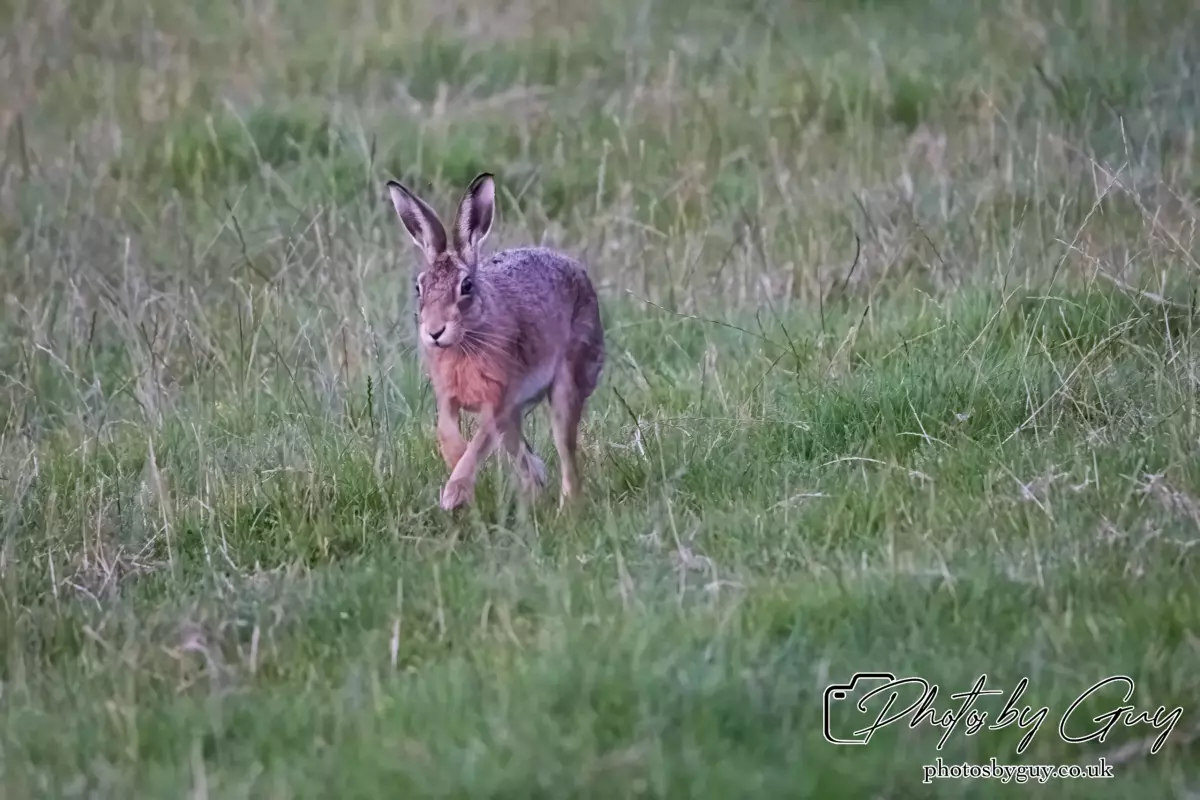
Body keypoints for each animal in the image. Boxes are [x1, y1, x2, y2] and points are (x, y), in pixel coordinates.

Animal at [385, 172, 605, 511]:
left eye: (466, 286)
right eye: (419, 287)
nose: (434, 332)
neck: (468, 334)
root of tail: (580, 273)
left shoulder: (498, 400)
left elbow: (478, 442)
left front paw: (454, 492)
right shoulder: (450, 397)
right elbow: (446, 431)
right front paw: (455, 462)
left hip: (567, 381)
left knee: (566, 450)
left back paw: (566, 509)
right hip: (514, 417)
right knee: (526, 457)